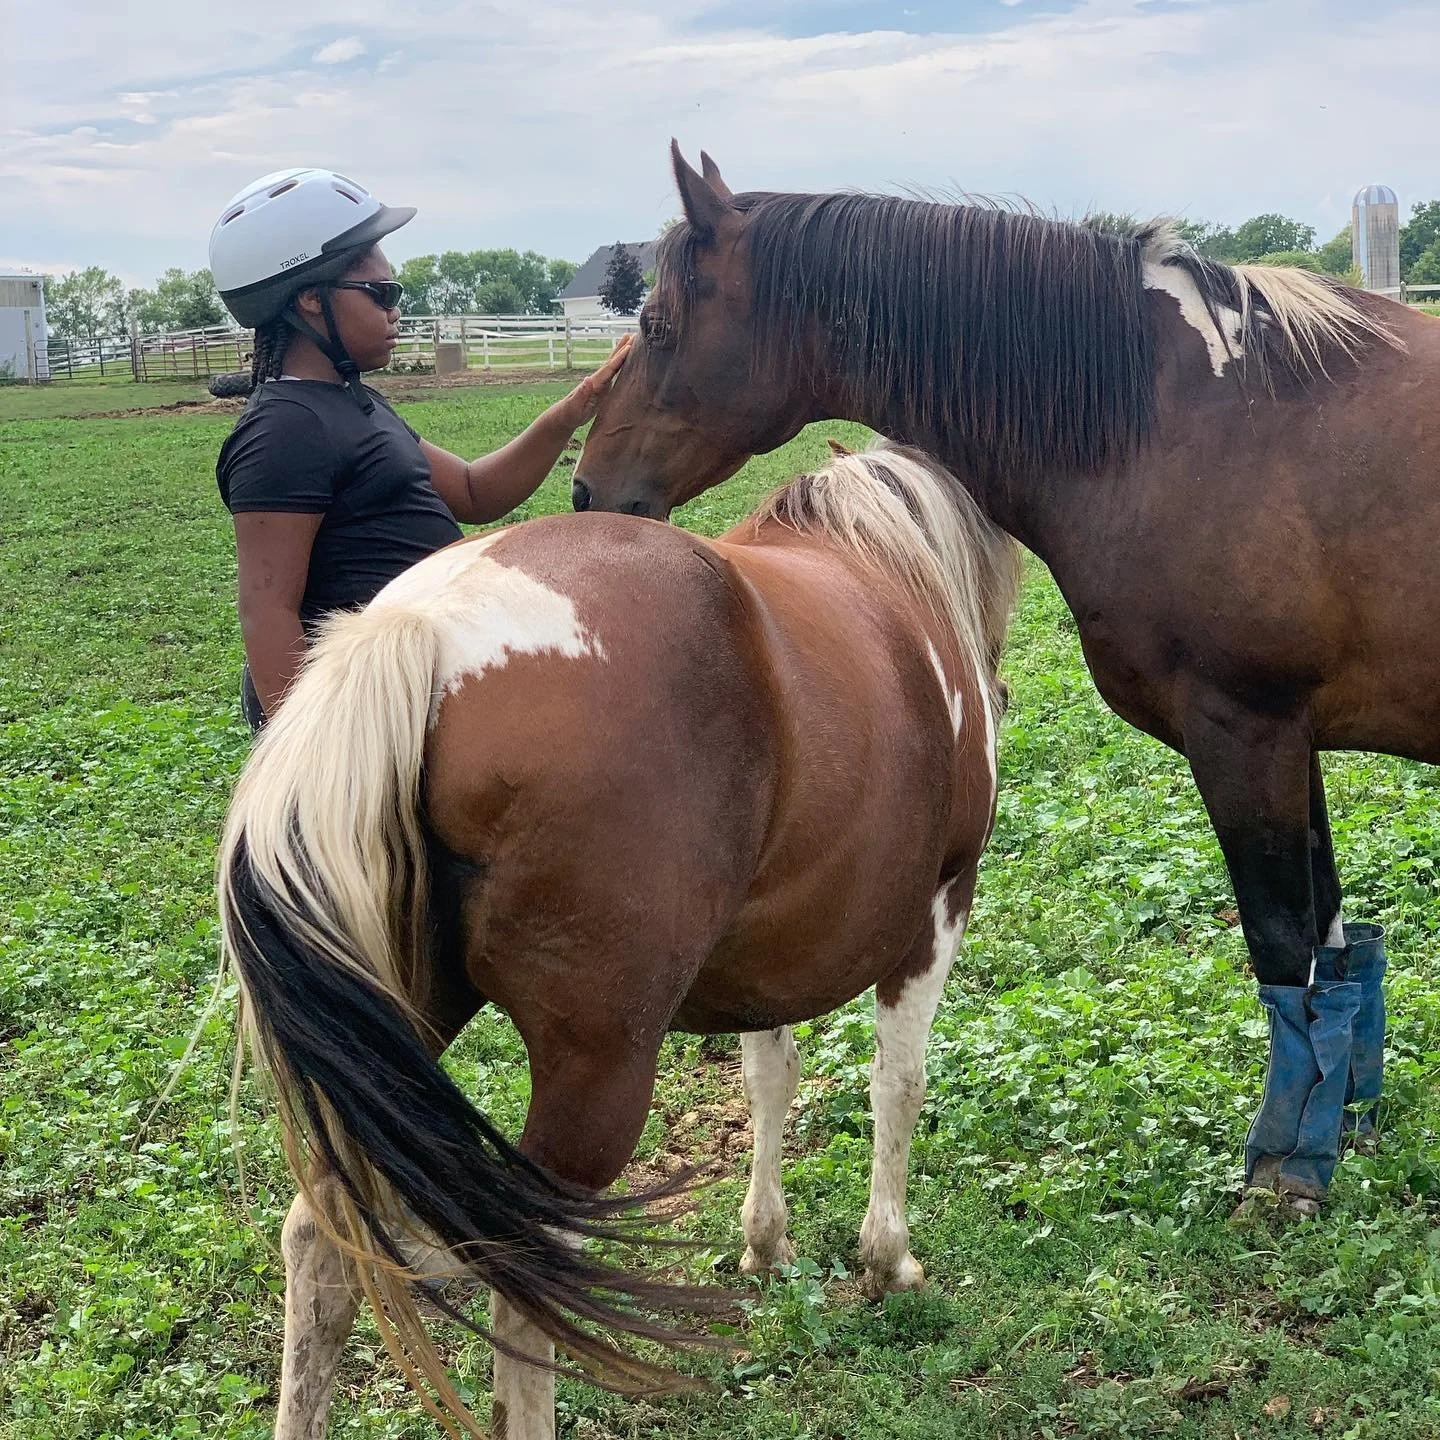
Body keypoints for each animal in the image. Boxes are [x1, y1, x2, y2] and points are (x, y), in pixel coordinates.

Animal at [219, 439, 1020, 1439]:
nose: (1001, 693)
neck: (885, 561)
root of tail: (421, 631)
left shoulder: (767, 957)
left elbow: (770, 1079)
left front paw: (765, 1244)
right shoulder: (940, 906)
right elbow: (898, 1084)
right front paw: (887, 1257)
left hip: (388, 1040)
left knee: (320, 1237)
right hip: (595, 1070)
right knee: (524, 1270)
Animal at [573, 144, 1440, 1215]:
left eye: (655, 326)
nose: (589, 491)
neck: (1180, 418)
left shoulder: (1248, 731)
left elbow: (1282, 944)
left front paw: (1286, 1167)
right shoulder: (1292, 736)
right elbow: (1331, 939)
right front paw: (1342, 1127)